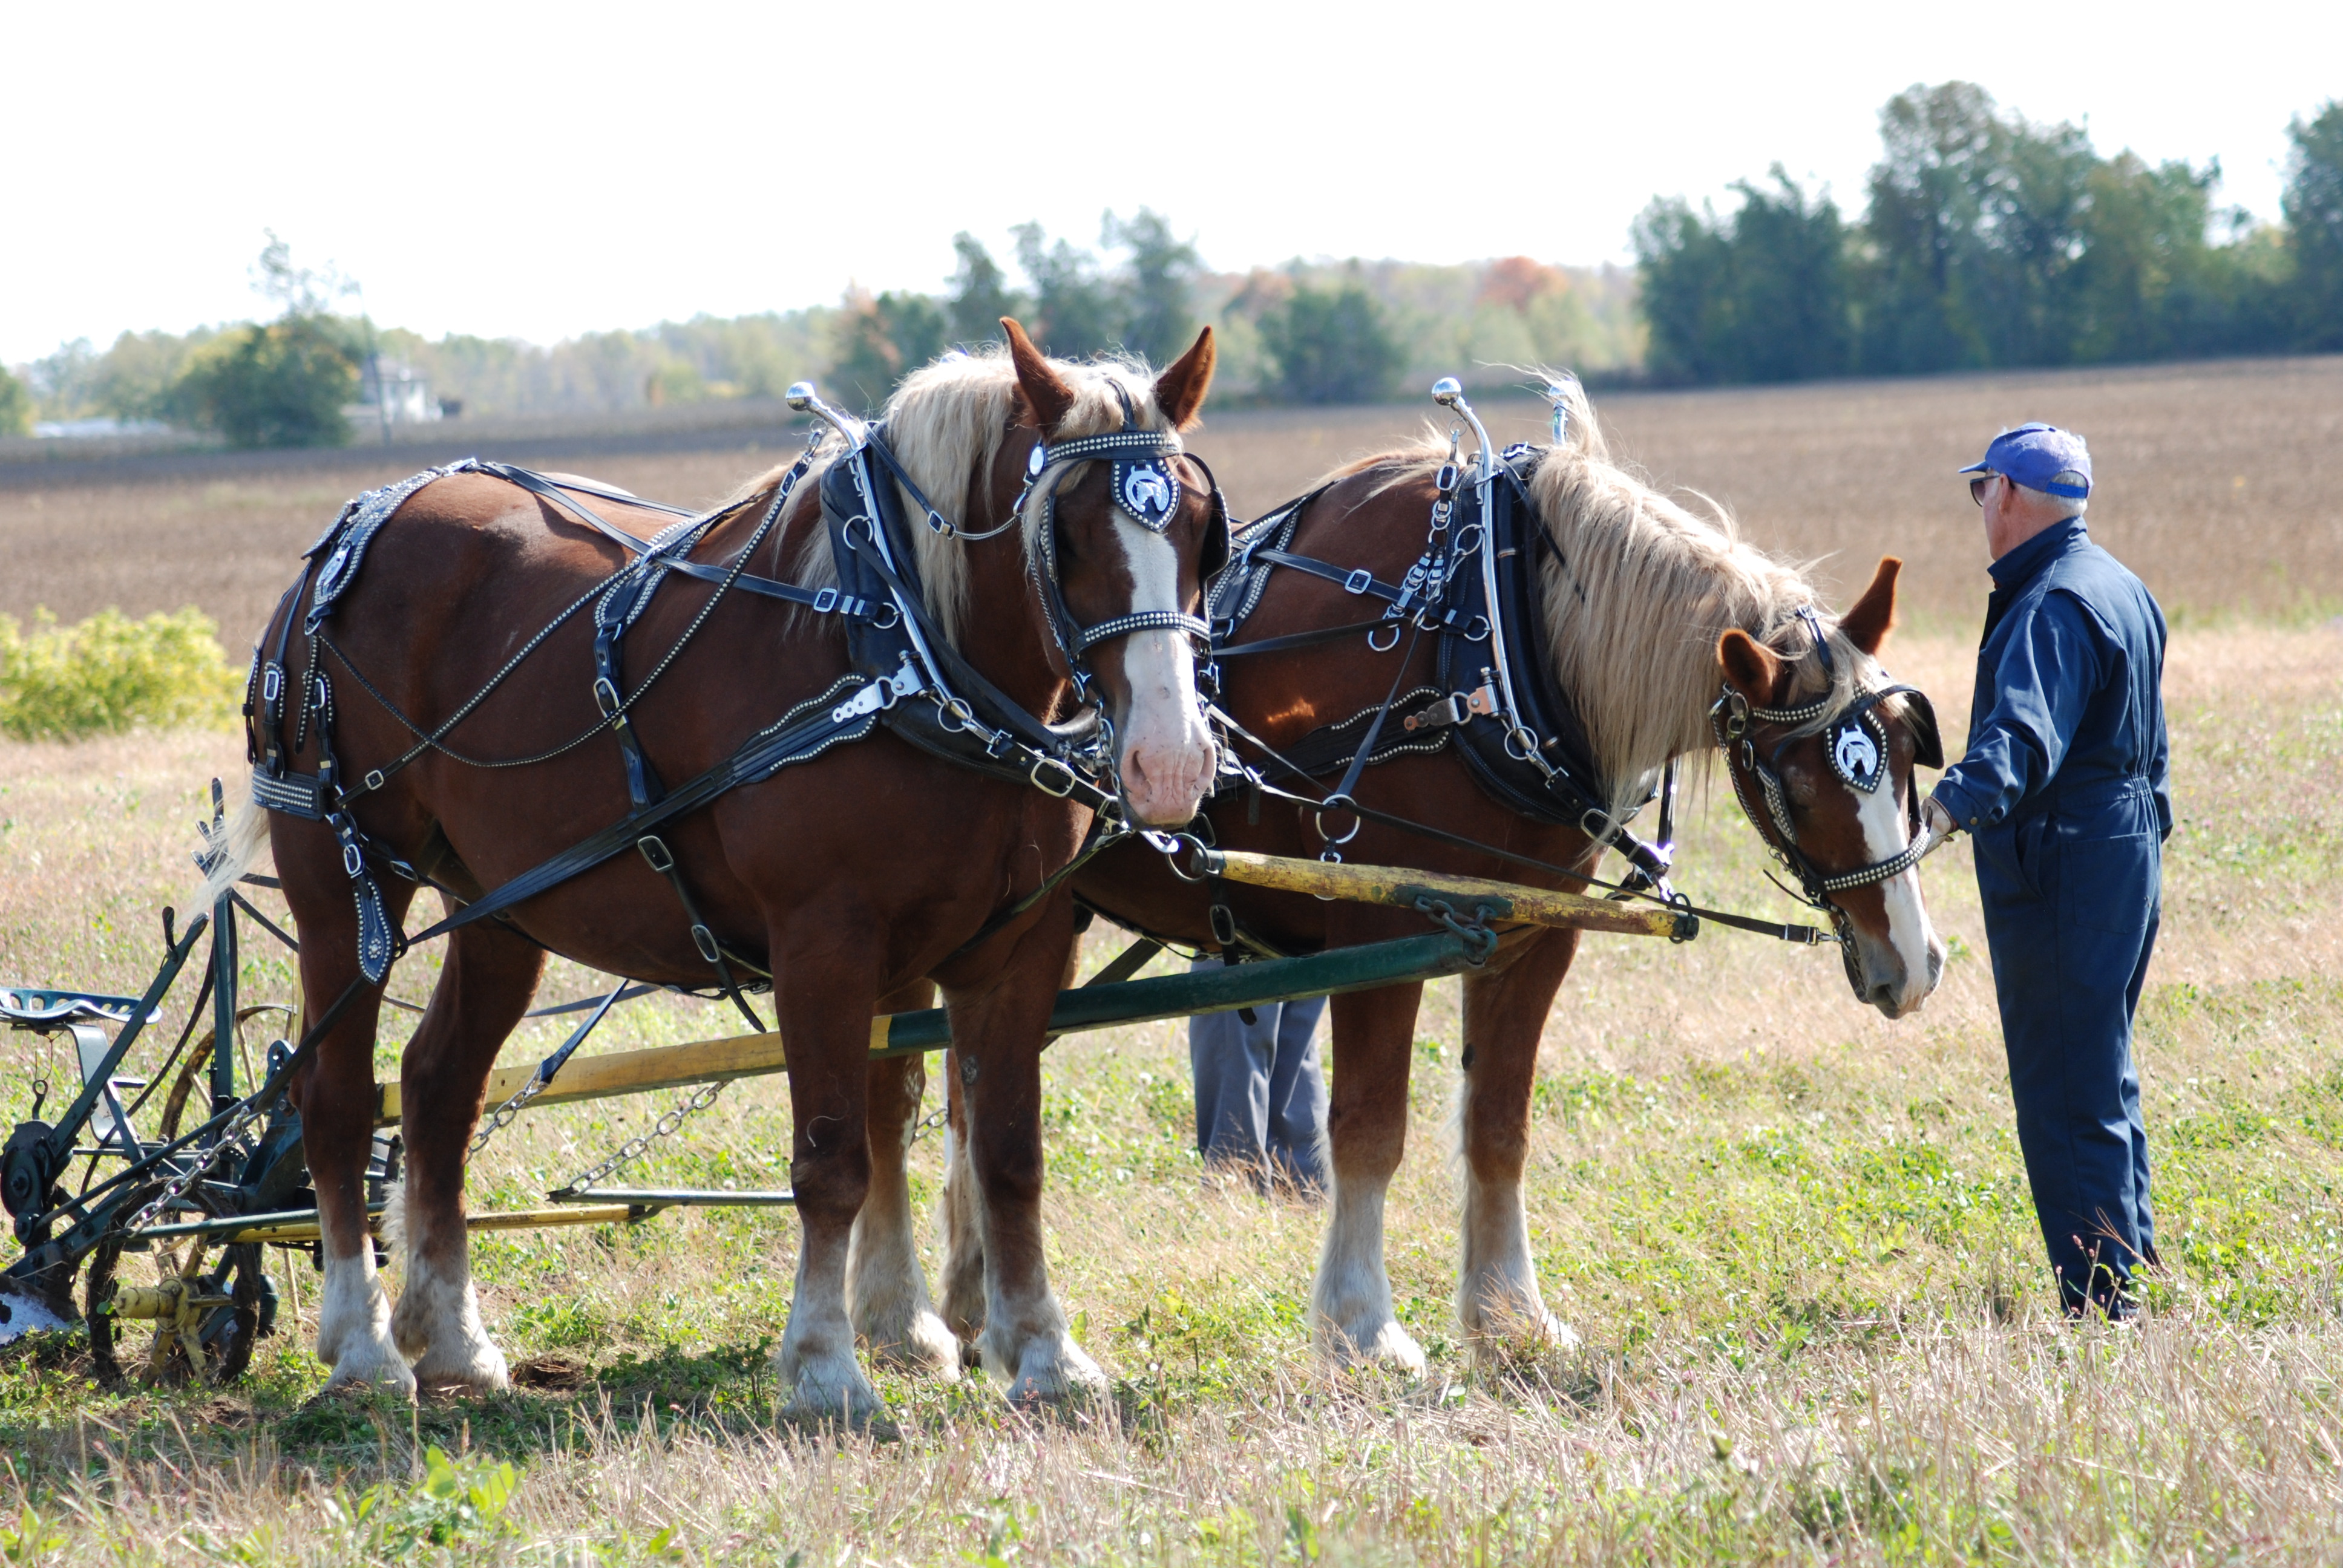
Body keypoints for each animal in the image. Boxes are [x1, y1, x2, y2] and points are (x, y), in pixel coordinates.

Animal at [853, 379, 1949, 1368]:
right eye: (1800, 779)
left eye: (1905, 750)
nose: (1916, 961)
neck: (1490, 643)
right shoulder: (1381, 936)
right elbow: (1370, 1129)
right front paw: (1364, 1328)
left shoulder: (1531, 935)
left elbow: (1499, 1124)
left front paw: (1510, 1317)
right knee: (893, 1089)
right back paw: (899, 1316)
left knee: (967, 1093)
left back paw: (968, 1302)